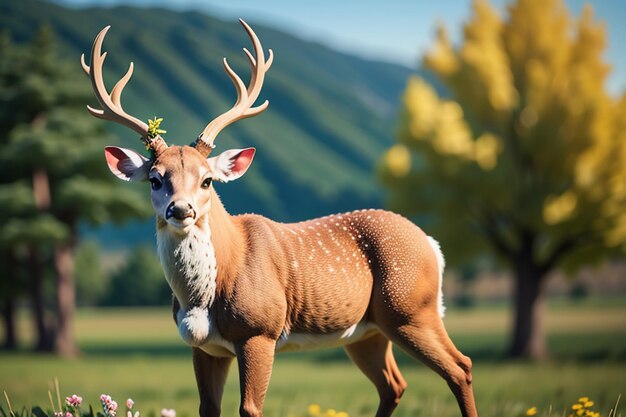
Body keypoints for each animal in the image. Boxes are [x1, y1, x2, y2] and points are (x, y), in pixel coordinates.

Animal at [80, 20, 476, 417]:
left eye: (207, 179)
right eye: (155, 179)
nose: (180, 210)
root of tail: (430, 243)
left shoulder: (261, 330)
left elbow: (250, 409)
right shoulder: (203, 346)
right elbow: (208, 409)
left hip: (410, 308)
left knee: (461, 367)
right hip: (369, 331)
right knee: (394, 384)